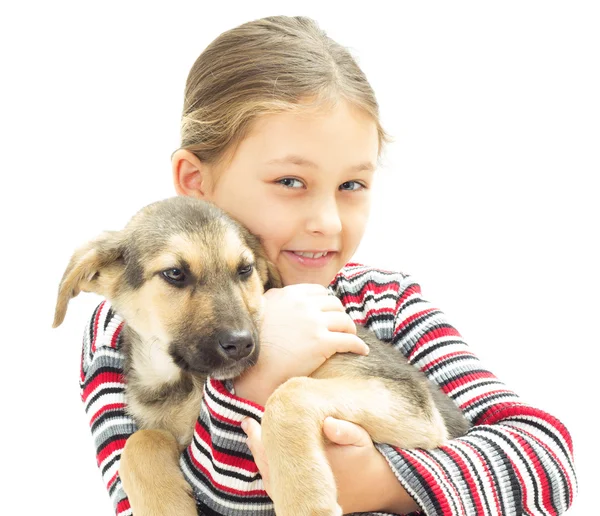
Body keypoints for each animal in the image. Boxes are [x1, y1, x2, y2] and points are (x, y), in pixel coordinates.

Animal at [55, 196, 468, 512]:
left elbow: (289, 394)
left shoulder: (411, 405)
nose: (241, 344)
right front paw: (167, 506)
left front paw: (307, 504)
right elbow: (138, 443)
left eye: (245, 270)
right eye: (174, 273)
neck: (187, 382)